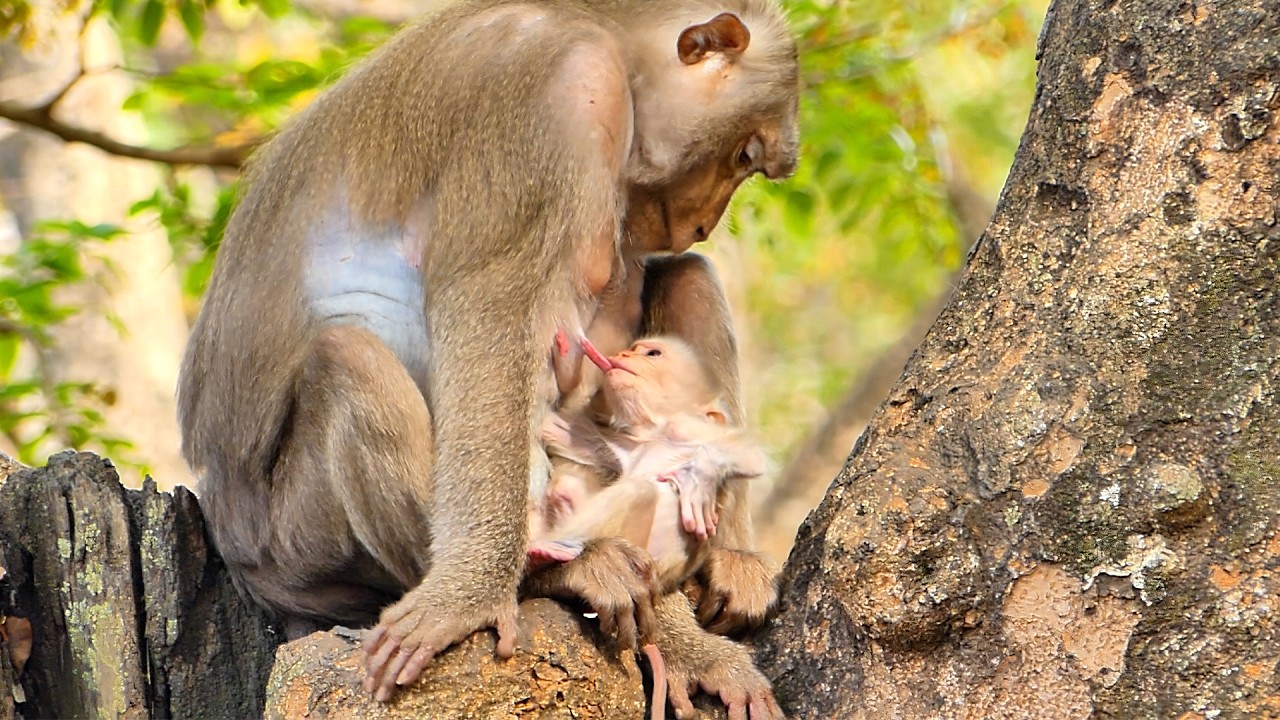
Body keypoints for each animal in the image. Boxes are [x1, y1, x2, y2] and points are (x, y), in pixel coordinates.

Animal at [177, 0, 799, 706]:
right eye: (744, 153)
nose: (703, 222)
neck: (611, 36)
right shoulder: (559, 97)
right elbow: (494, 316)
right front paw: (469, 594)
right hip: (300, 542)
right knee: (350, 359)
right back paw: (550, 574)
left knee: (686, 275)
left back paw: (727, 557)